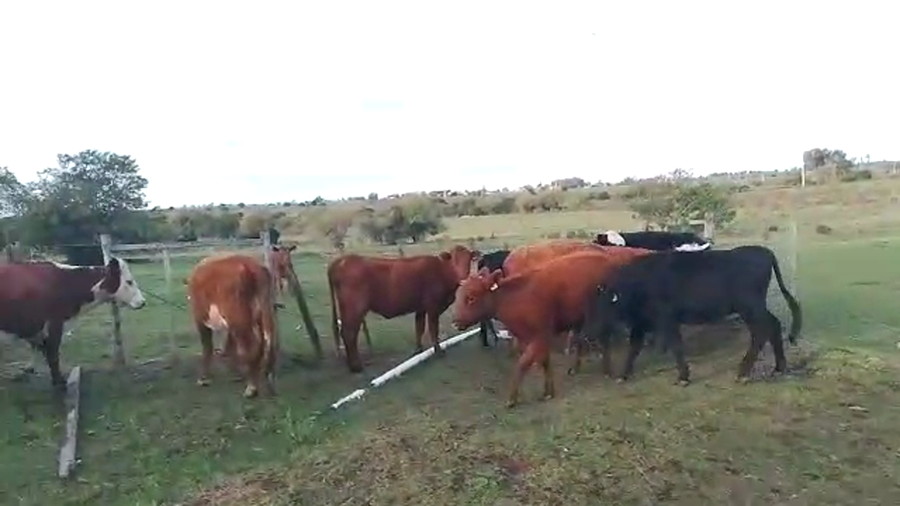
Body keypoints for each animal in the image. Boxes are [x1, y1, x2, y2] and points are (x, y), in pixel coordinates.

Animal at [0, 257, 146, 391]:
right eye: (129, 281)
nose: (143, 302)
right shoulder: (54, 323)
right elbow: (52, 354)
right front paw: (59, 382)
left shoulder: (36, 328)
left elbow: (42, 349)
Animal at [187, 254, 279, 398]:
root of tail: (252, 267)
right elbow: (231, 345)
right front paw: (236, 373)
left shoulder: (200, 319)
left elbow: (207, 346)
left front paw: (204, 378)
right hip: (263, 312)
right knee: (268, 342)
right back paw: (269, 383)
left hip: (239, 318)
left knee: (252, 346)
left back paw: (251, 388)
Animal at [328, 245, 479, 373]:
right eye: (454, 260)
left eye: (468, 259)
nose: (463, 278)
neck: (441, 271)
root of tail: (342, 260)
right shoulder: (433, 307)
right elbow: (433, 329)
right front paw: (438, 351)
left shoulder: (421, 308)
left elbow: (419, 327)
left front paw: (418, 350)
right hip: (354, 309)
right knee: (349, 333)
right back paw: (356, 366)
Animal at [451, 246, 653, 408]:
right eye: (458, 295)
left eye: (471, 297)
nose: (455, 321)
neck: (517, 296)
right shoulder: (533, 339)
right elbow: (544, 362)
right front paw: (549, 391)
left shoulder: (540, 336)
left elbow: (523, 364)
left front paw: (512, 398)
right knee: (582, 340)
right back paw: (577, 368)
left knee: (604, 339)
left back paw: (608, 370)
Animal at [580, 245, 802, 386]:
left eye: (605, 306)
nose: (589, 331)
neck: (639, 283)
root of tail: (763, 251)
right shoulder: (641, 323)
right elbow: (633, 348)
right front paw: (623, 375)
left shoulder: (667, 320)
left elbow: (676, 346)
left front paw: (683, 377)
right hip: (755, 308)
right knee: (773, 326)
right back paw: (779, 367)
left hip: (749, 308)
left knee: (761, 332)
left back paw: (743, 373)